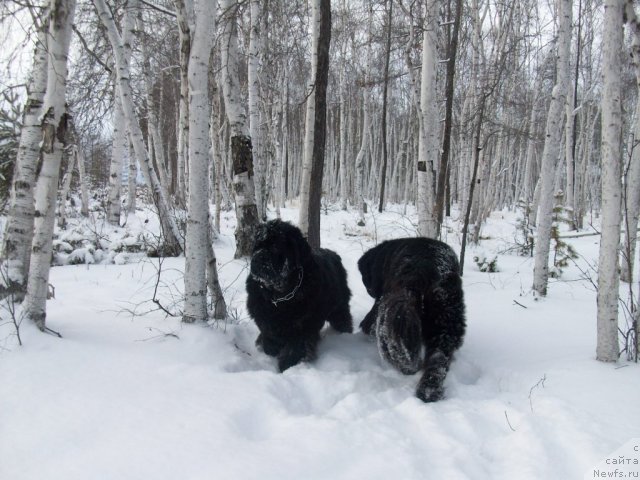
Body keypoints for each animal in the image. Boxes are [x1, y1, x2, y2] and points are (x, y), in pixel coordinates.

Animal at [246, 219, 356, 374]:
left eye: (275, 246)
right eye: (257, 246)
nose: (256, 259)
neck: (280, 296)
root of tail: (334, 254)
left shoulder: (302, 329)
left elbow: (294, 351)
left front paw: (287, 369)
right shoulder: (264, 320)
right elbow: (269, 341)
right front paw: (270, 349)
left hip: (339, 307)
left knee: (343, 319)